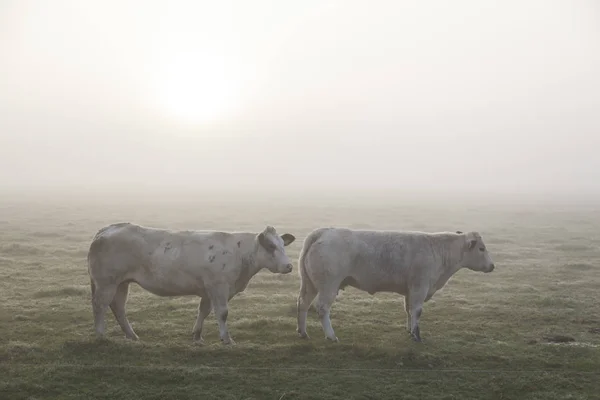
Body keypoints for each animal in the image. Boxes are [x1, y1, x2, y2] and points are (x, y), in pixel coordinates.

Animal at [87, 222, 296, 344]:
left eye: (283, 245)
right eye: (271, 246)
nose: (289, 266)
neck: (239, 254)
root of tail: (105, 230)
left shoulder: (208, 290)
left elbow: (203, 311)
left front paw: (197, 335)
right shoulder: (219, 287)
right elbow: (222, 313)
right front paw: (227, 339)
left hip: (122, 283)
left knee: (118, 306)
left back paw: (131, 335)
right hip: (107, 282)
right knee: (100, 305)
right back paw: (100, 334)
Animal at [296, 227, 496, 342]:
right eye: (481, 248)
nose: (492, 266)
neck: (438, 250)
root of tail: (322, 232)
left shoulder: (410, 290)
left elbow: (409, 310)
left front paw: (409, 330)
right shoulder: (420, 287)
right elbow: (417, 311)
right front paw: (416, 335)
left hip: (309, 284)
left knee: (303, 304)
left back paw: (303, 332)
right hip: (328, 286)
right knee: (322, 308)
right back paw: (331, 336)